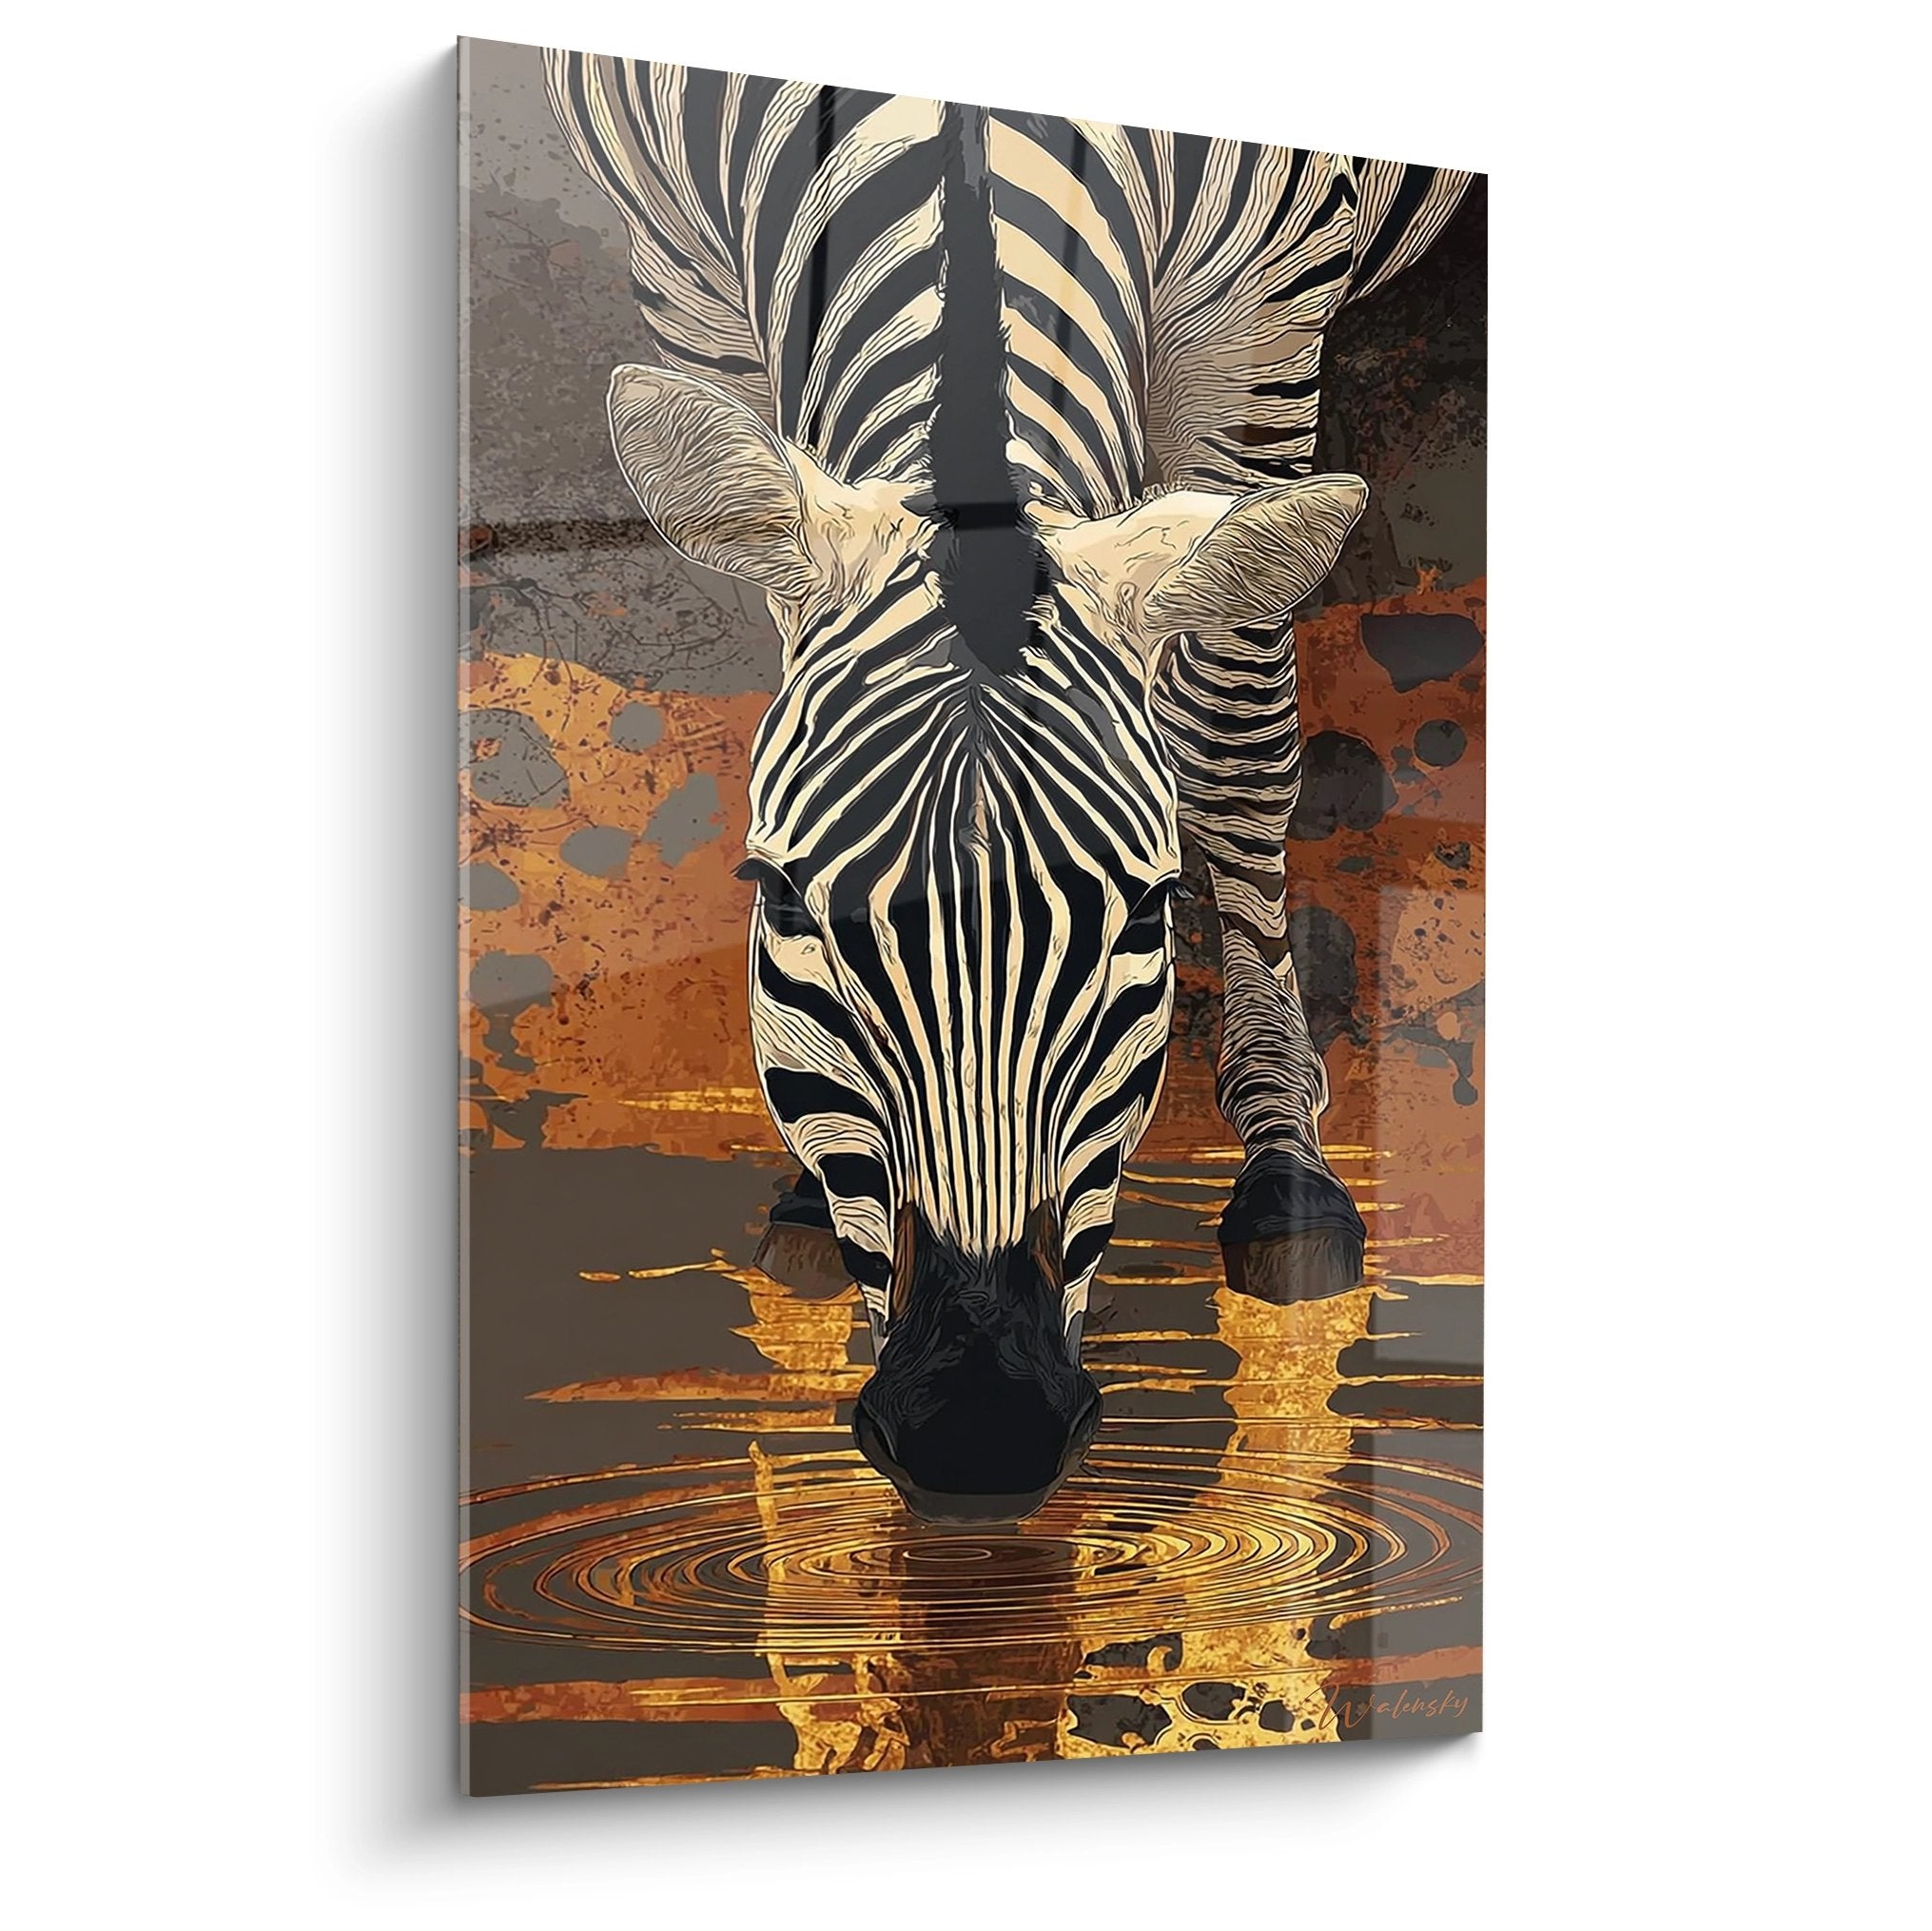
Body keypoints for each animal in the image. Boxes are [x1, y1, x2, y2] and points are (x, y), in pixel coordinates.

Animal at [544, 52, 1472, 1522]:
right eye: (779, 902)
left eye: (1145, 913)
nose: (977, 1429)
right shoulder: (684, 279)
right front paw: (801, 1193)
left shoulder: (1260, 313)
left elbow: (1232, 732)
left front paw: (1282, 1150)